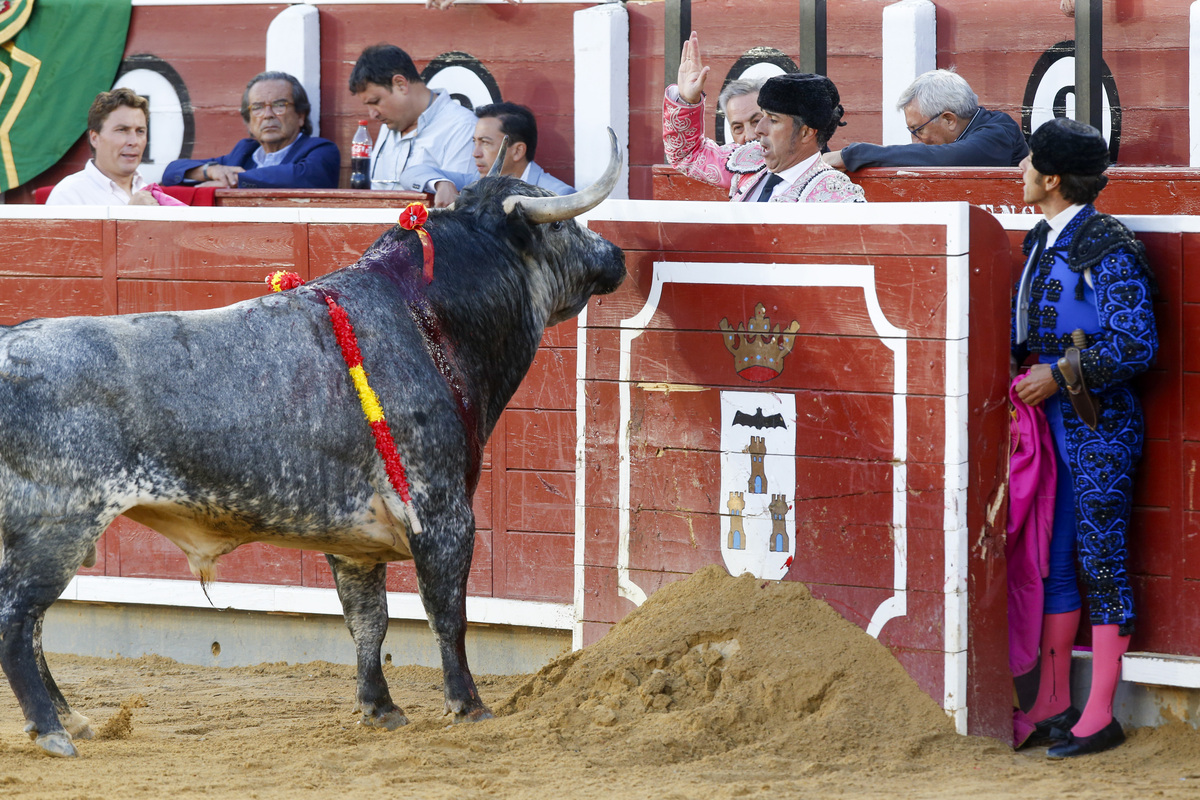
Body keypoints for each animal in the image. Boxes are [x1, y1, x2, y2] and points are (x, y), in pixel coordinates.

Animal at [0, 131, 624, 758]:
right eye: (565, 224)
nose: (617, 256)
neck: (426, 319)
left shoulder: (355, 541)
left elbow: (367, 620)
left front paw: (380, 709)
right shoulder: (444, 514)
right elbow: (446, 613)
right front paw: (468, 706)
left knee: (32, 626)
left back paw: (72, 719)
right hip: (55, 530)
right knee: (16, 621)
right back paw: (53, 731)